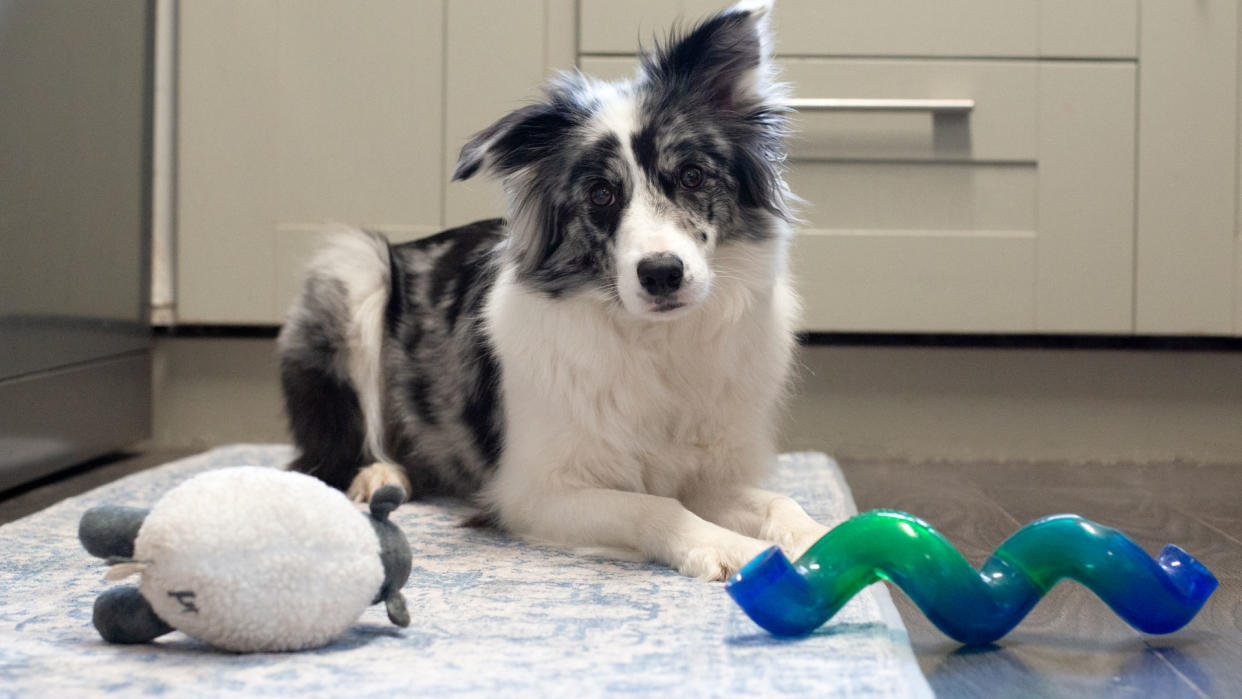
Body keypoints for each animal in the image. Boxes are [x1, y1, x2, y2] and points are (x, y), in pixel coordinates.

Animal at [276, 0, 829, 581]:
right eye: (602, 193)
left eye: (694, 176)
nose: (661, 274)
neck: (655, 341)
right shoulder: (532, 492)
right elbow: (654, 506)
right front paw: (726, 547)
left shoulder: (706, 474)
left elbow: (779, 502)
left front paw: (821, 542)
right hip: (353, 267)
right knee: (330, 452)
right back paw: (379, 476)